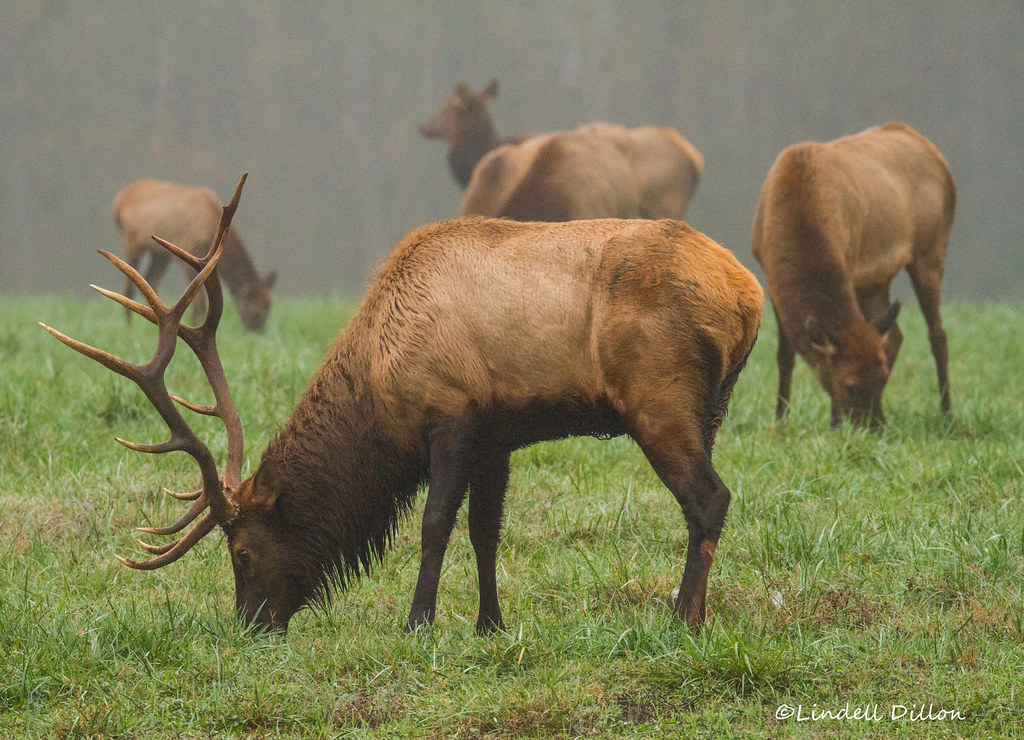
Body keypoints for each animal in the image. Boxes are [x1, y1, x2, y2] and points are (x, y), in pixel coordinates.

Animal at [113, 179, 277, 333]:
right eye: (258, 308)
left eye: (269, 305)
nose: (257, 332)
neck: (210, 225)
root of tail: (118, 202)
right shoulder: (189, 247)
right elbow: (198, 300)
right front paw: (194, 324)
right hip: (131, 242)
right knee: (129, 286)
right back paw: (129, 327)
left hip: (160, 254)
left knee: (150, 279)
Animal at [751, 121, 955, 429]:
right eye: (849, 384)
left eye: (882, 378)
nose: (876, 427)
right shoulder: (769, 277)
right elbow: (785, 355)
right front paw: (781, 419)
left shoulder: (849, 262)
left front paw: (834, 424)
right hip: (875, 281)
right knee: (894, 334)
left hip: (931, 249)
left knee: (937, 334)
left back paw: (948, 415)